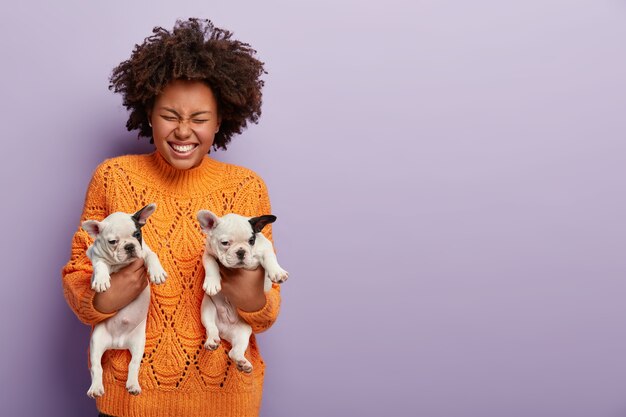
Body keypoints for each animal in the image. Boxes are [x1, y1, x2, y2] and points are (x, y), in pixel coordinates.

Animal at [81, 203, 167, 398]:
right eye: (113, 241)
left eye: (137, 234)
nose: (129, 246)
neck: (121, 264)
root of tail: (118, 343)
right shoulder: (96, 256)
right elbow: (100, 265)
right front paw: (101, 280)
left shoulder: (144, 251)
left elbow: (152, 256)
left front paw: (157, 272)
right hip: (96, 342)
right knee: (97, 368)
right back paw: (96, 388)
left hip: (138, 344)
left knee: (133, 365)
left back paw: (133, 385)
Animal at [195, 211, 288, 370]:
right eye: (225, 243)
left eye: (251, 241)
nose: (241, 251)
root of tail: (224, 330)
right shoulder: (208, 254)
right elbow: (211, 264)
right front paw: (212, 283)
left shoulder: (265, 247)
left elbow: (270, 257)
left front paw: (277, 272)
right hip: (207, 309)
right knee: (211, 328)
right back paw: (212, 341)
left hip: (244, 332)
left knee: (235, 351)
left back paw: (242, 362)